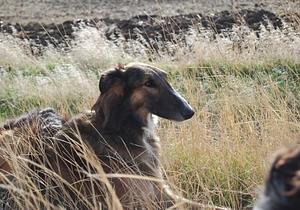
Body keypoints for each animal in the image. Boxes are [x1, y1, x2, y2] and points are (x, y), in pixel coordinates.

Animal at [0, 62, 195, 210]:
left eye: (165, 79)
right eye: (148, 83)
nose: (190, 111)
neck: (120, 131)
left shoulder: (161, 190)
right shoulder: (135, 200)